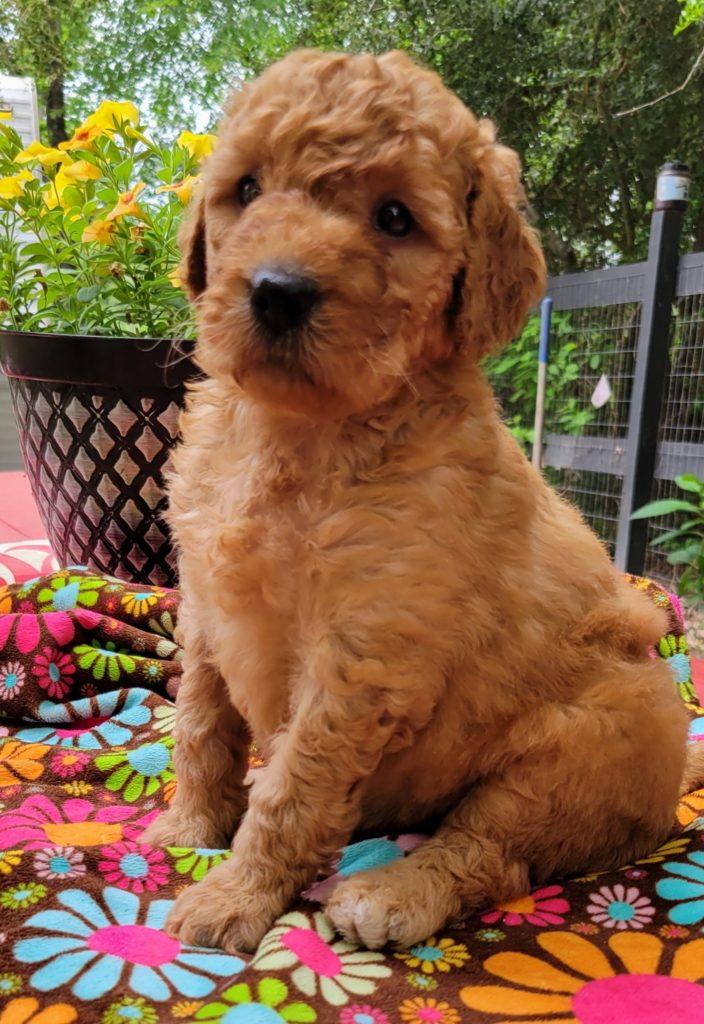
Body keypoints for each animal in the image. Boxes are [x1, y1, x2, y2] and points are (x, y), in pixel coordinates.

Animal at [141, 51, 699, 954]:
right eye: (248, 189)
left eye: (395, 217)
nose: (277, 291)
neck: (294, 432)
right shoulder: (202, 603)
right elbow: (200, 723)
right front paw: (187, 829)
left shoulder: (361, 653)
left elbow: (291, 786)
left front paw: (236, 893)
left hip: (593, 737)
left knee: (491, 851)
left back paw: (392, 891)